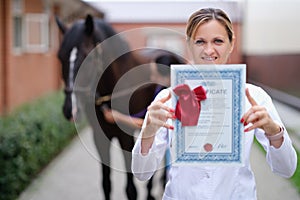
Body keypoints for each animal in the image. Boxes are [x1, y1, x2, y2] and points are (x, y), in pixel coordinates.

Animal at [56, 14, 185, 200]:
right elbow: (106, 184)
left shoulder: (126, 137)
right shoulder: (100, 138)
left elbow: (131, 190)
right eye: (60, 57)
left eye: (87, 58)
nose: (70, 109)